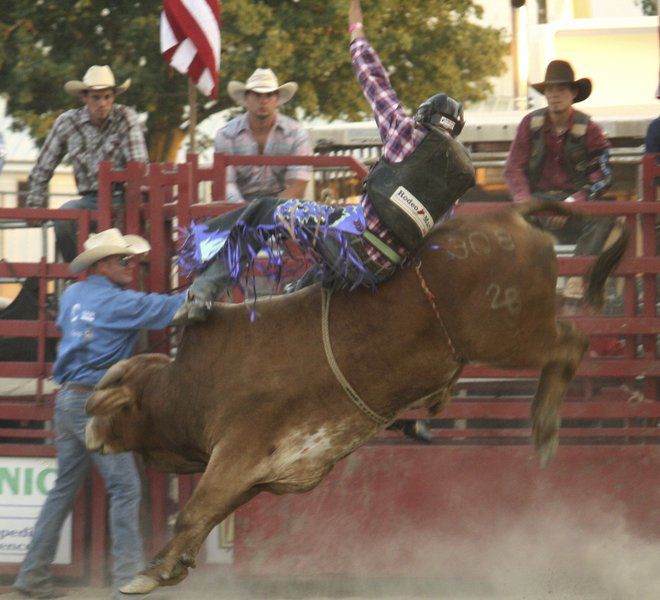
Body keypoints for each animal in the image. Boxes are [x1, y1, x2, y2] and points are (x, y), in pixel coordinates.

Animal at [85, 199, 628, 592]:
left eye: (113, 403)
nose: (87, 432)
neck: (186, 385)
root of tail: (508, 213)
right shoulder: (262, 474)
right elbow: (205, 517)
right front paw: (169, 567)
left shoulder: (237, 452)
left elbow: (194, 512)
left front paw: (146, 574)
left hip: (507, 335)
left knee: (570, 345)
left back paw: (545, 427)